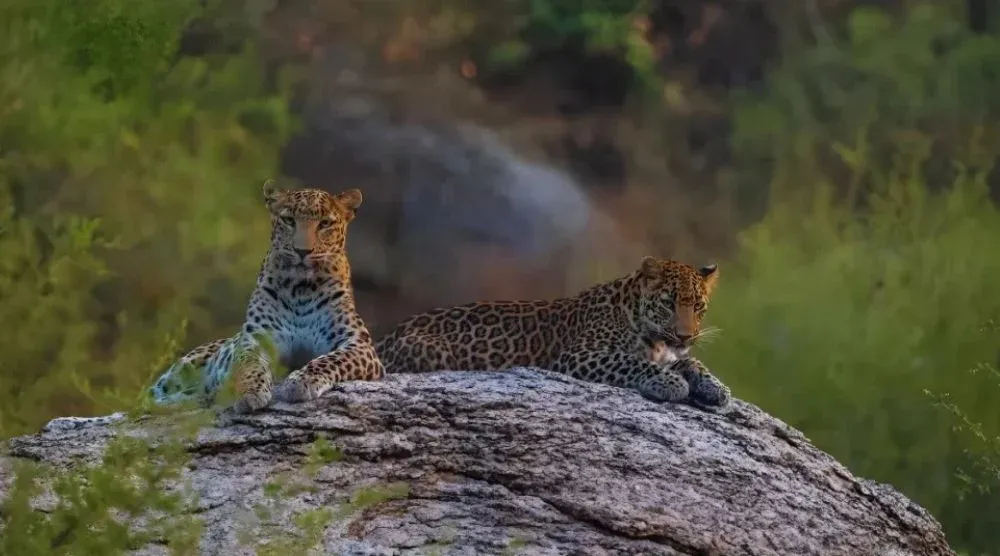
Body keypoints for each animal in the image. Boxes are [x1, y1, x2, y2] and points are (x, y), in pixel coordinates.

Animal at [374, 256, 731, 412]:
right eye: (669, 304)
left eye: (698, 307)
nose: (685, 336)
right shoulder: (580, 355)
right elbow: (633, 363)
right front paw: (671, 383)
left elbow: (692, 363)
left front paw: (717, 389)